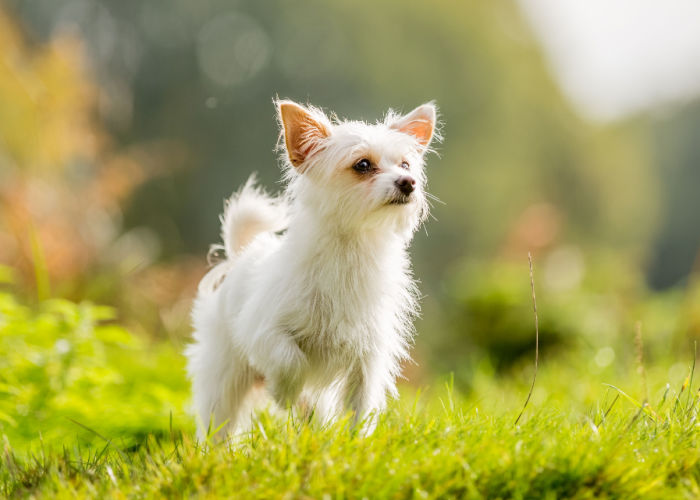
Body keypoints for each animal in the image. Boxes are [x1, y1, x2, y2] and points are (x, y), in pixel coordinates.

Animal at [186, 98, 438, 438]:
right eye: (362, 165)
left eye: (406, 165)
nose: (408, 183)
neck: (350, 249)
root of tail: (241, 253)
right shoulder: (263, 331)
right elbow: (289, 359)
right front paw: (285, 393)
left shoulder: (367, 357)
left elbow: (361, 406)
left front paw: (357, 443)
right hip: (223, 377)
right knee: (219, 425)